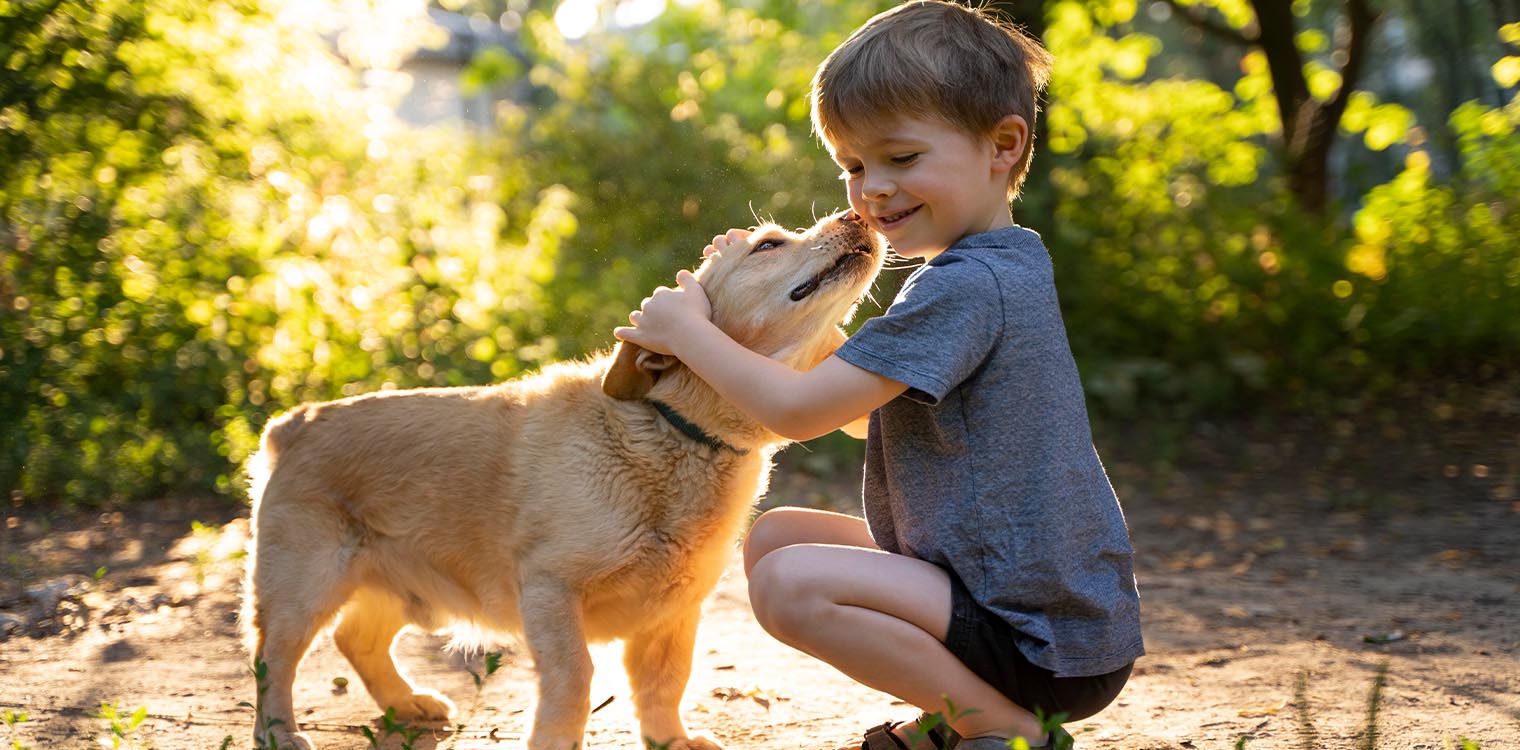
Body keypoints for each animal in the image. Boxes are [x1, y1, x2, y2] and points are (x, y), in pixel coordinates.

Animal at [241, 208, 887, 748]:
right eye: (768, 244)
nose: (858, 213)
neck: (675, 433)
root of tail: (295, 422)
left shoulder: (674, 612)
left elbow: (666, 684)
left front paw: (671, 740)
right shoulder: (550, 590)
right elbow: (575, 680)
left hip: (403, 588)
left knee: (357, 640)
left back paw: (407, 703)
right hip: (302, 590)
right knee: (272, 663)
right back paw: (280, 733)